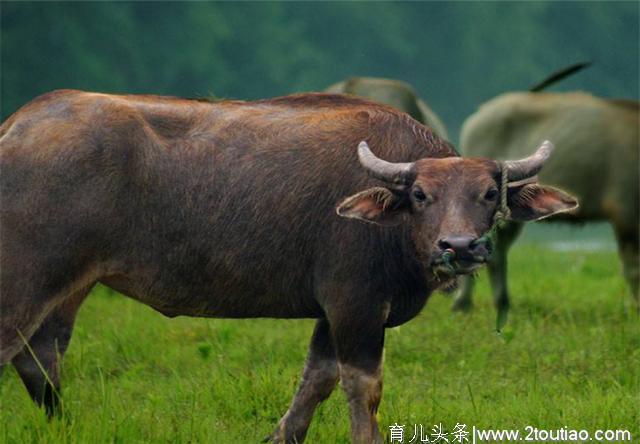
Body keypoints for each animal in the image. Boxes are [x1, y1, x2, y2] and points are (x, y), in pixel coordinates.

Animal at [0, 91, 576, 444]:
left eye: (488, 193)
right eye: (420, 194)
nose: (459, 246)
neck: (391, 229)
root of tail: (15, 129)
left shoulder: (331, 311)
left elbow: (316, 379)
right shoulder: (355, 305)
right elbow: (362, 387)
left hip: (72, 286)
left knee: (40, 356)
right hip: (26, 279)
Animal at [452, 64, 636, 320]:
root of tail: (478, 115)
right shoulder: (625, 215)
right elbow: (633, 268)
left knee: (497, 251)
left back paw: (502, 302)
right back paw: (464, 304)